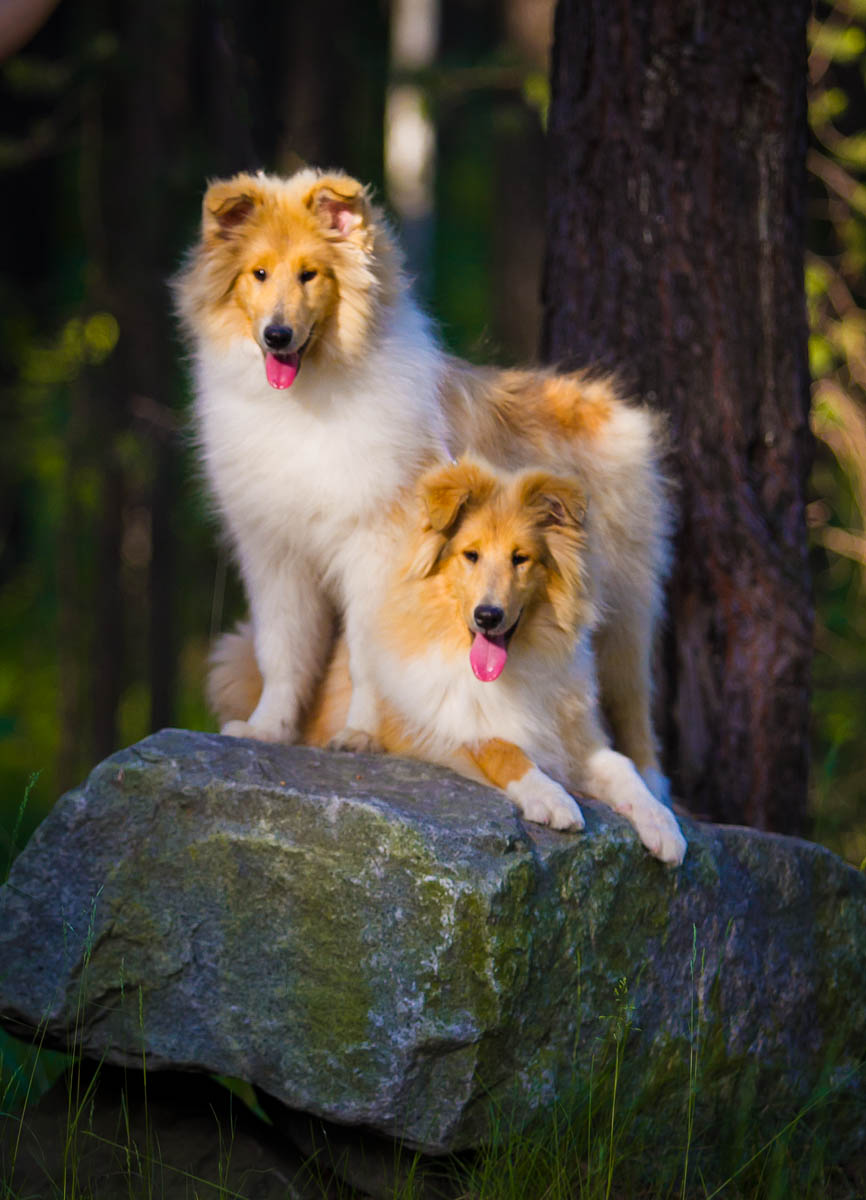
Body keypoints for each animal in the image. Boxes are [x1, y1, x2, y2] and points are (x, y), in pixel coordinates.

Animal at [175, 162, 671, 796]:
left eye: (311, 274)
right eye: (258, 273)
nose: (276, 335)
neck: (307, 398)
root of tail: (611, 406)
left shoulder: (377, 549)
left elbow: (368, 654)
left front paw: (360, 734)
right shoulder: (276, 554)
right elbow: (283, 650)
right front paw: (267, 730)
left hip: (625, 607)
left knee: (634, 702)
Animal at [207, 451, 681, 864]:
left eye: (521, 558)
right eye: (470, 554)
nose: (488, 616)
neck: (510, 665)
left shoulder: (574, 738)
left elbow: (623, 768)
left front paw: (664, 826)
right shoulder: (441, 725)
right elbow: (504, 748)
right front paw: (552, 799)